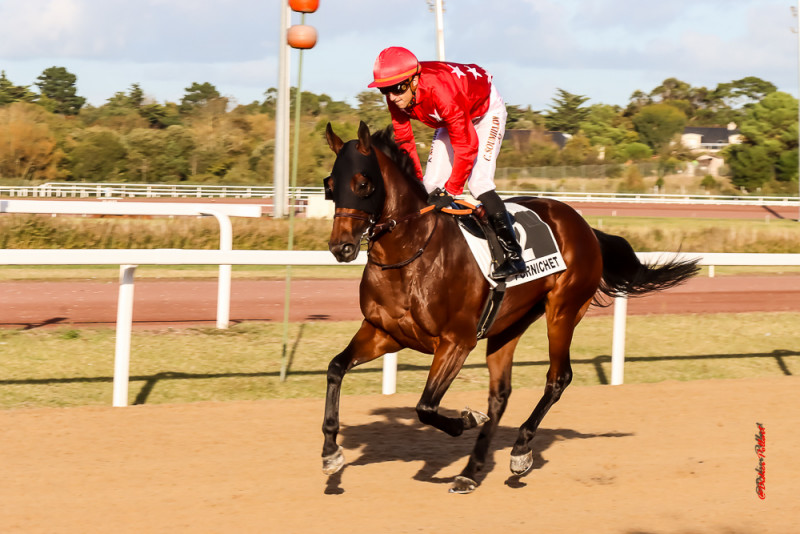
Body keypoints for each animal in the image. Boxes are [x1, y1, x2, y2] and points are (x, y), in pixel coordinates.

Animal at [322, 120, 696, 494]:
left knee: (558, 378)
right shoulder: (384, 332)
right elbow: (336, 367)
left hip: (563, 311)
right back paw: (471, 470)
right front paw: (331, 452)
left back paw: (519, 450)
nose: (341, 247)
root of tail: (584, 226)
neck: (411, 255)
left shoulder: (456, 341)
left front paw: (466, 420)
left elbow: (426, 406)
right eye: (330, 186)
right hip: (508, 325)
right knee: (500, 394)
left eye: (363, 184)